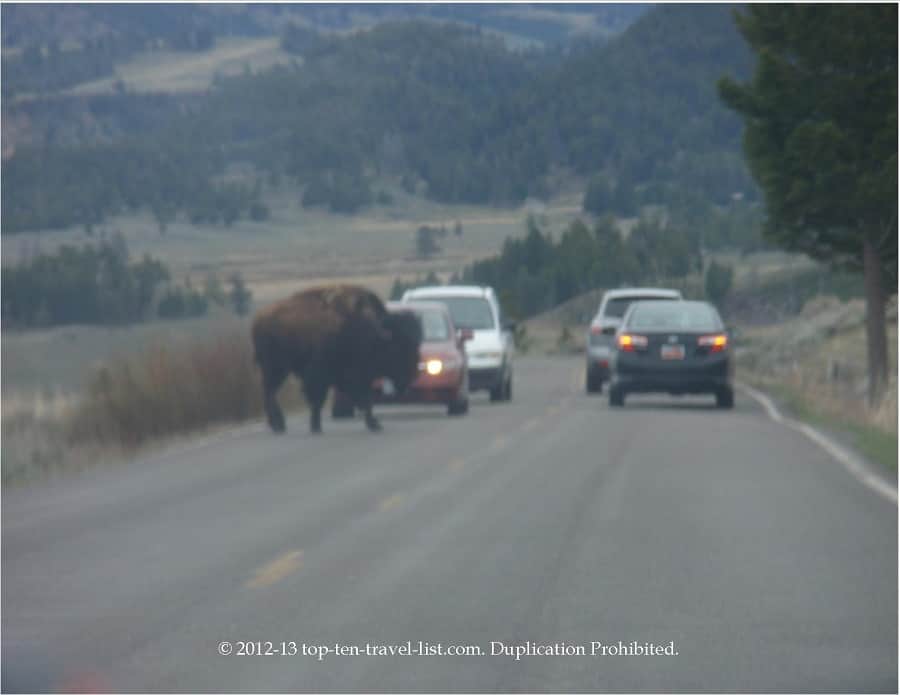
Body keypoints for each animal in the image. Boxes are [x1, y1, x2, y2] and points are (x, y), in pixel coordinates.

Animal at [252, 285, 422, 434]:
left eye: (416, 343)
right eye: (399, 347)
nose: (412, 374)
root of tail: (258, 318)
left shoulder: (359, 375)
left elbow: (366, 400)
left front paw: (374, 424)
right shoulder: (320, 375)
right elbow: (318, 400)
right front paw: (316, 427)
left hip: (278, 370)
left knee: (269, 392)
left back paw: (278, 425)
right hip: (275, 368)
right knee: (270, 392)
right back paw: (278, 425)